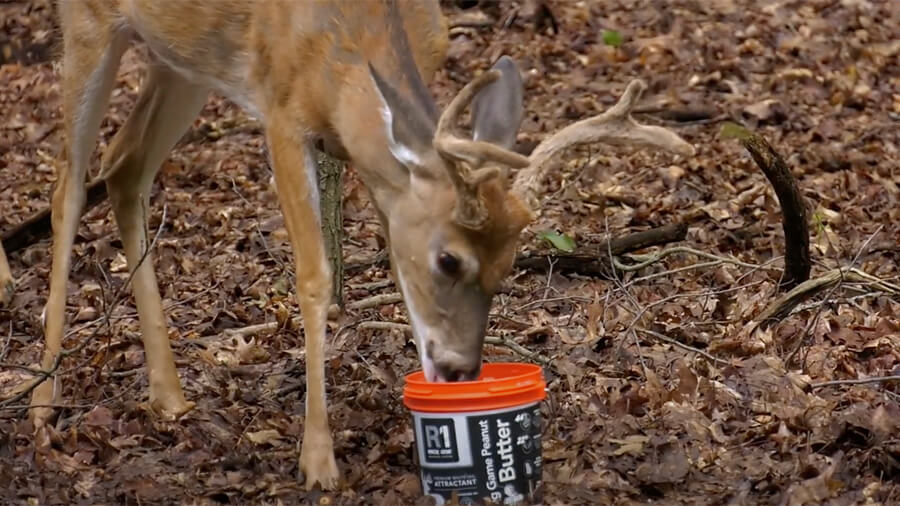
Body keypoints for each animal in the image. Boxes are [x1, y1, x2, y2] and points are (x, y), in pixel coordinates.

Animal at [26, 0, 688, 490]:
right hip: (90, 25)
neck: (350, 41)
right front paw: (318, 462)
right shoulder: (281, 110)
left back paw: (168, 396)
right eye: (449, 258)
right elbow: (315, 277)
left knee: (124, 167)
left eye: (506, 266)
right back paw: (41, 402)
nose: (459, 370)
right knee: (67, 185)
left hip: (183, 56)